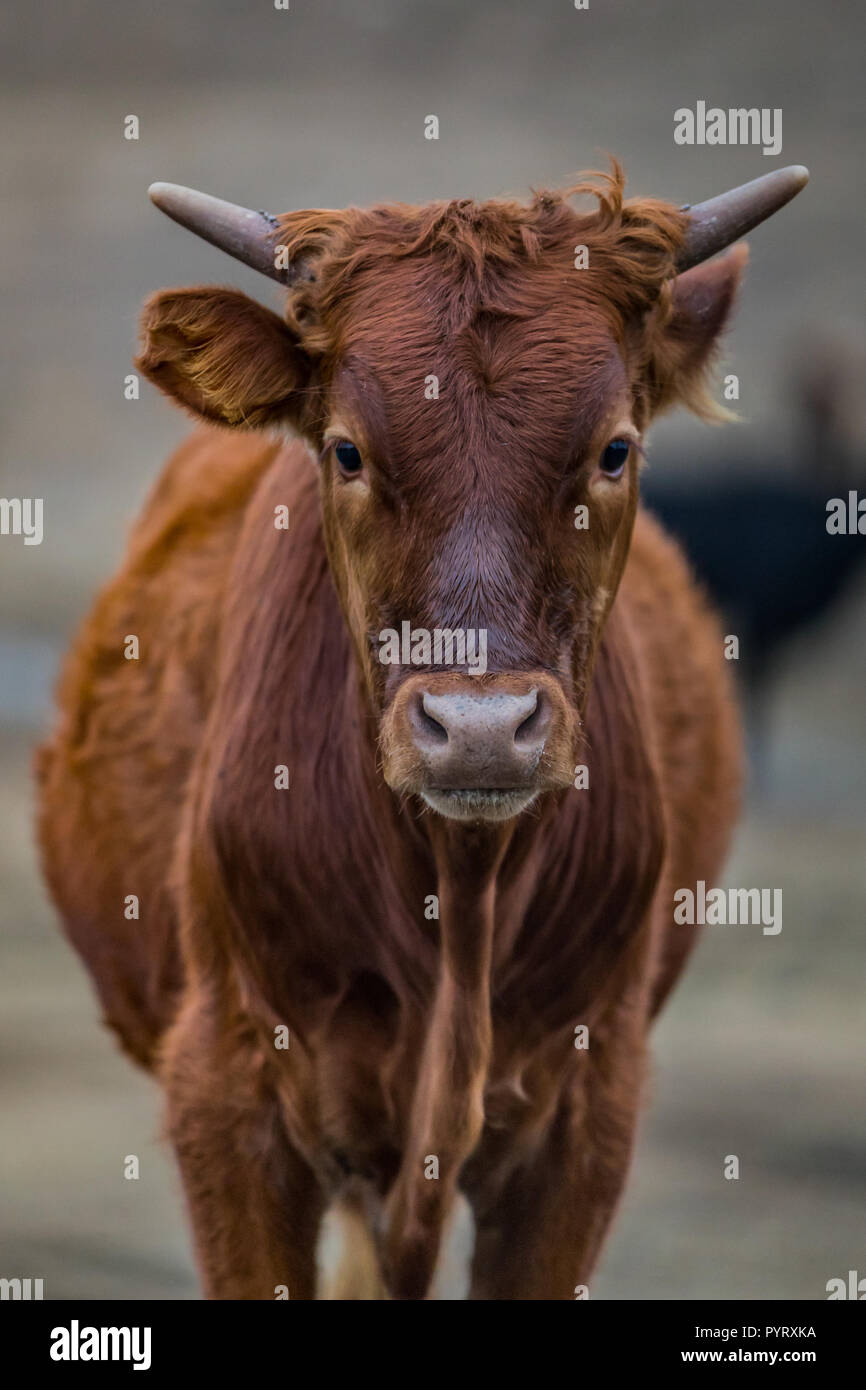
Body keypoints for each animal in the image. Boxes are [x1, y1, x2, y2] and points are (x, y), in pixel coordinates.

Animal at [37, 162, 811, 1301]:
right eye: (348, 449)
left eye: (614, 448)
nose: (481, 729)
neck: (460, 884)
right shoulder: (226, 1096)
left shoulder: (586, 1114)